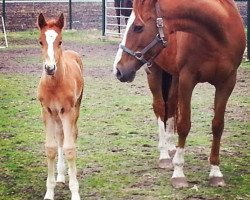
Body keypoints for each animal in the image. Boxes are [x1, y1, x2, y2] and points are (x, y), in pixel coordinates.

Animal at [37, 13, 84, 199]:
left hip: (75, 108)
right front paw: (49, 192)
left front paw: (75, 192)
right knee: (60, 137)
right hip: (56, 114)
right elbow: (50, 148)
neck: (54, 85)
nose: (50, 68)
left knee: (71, 135)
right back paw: (61, 176)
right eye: (40, 41)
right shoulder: (47, 111)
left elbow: (70, 149)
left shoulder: (68, 112)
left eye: (60, 41)